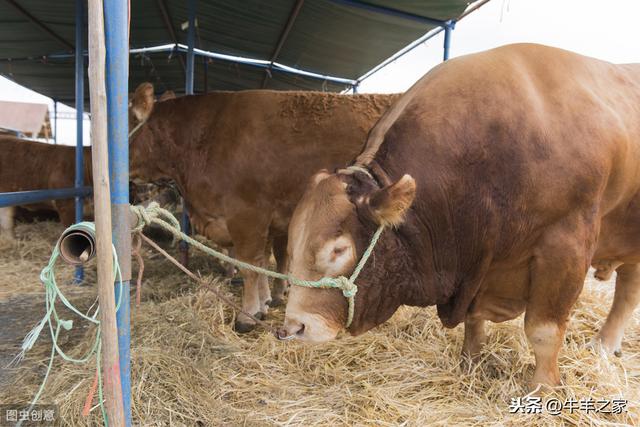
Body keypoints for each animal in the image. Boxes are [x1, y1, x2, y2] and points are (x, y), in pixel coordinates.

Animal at [127, 83, 400, 332]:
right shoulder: (264, 222)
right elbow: (262, 264)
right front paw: (265, 302)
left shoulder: (246, 215)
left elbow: (250, 266)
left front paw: (247, 316)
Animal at [278, 45, 640, 390]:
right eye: (292, 246)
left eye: (338, 250)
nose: (294, 326)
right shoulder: (480, 265)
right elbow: (474, 319)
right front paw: (469, 363)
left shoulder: (564, 247)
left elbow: (543, 331)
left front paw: (543, 389)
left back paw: (603, 345)